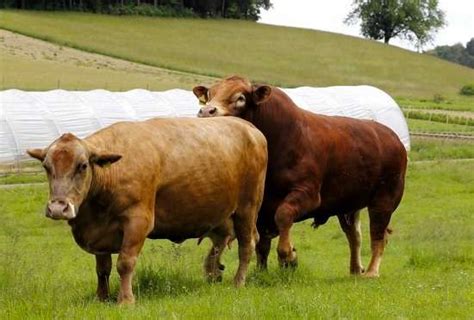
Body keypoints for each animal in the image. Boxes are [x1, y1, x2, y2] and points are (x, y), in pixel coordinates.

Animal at [26, 117, 266, 302]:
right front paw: (101, 297)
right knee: (218, 245)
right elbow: (102, 269)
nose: (58, 208)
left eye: (83, 166)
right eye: (46, 166)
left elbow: (125, 263)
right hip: (223, 216)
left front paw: (125, 300)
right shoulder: (100, 234)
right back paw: (213, 275)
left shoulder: (138, 222)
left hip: (247, 209)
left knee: (246, 246)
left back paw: (238, 282)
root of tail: (248, 127)